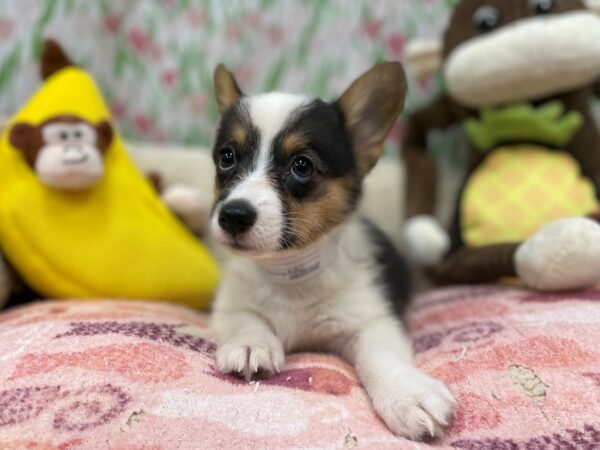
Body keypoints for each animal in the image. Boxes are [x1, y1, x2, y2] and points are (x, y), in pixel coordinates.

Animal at [207, 61, 454, 438]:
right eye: (227, 158)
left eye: (302, 165)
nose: (233, 216)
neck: (290, 272)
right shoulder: (229, 305)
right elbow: (246, 318)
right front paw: (252, 344)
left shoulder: (371, 320)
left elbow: (380, 357)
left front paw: (407, 392)